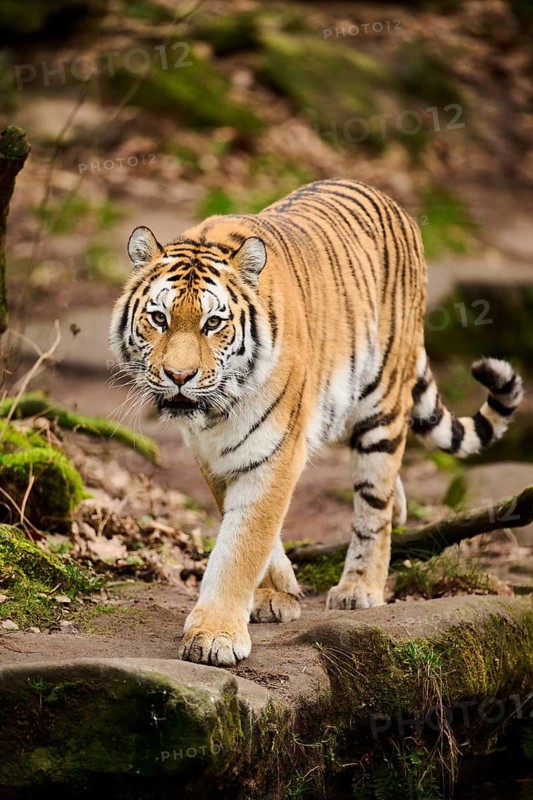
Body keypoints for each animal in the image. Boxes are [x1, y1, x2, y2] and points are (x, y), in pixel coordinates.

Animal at [109, 179, 523, 667]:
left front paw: (215, 636)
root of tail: (388, 199)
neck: (216, 413)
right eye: (159, 318)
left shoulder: (274, 450)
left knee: (374, 504)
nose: (179, 376)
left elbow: (243, 543)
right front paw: (275, 594)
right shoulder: (212, 456)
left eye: (213, 323)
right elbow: (250, 531)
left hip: (380, 406)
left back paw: (360, 587)